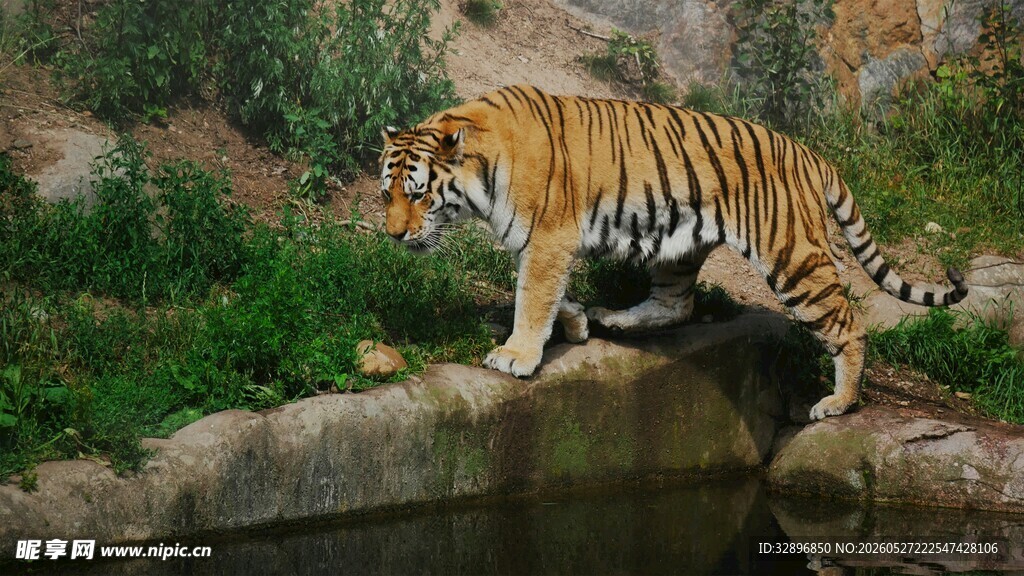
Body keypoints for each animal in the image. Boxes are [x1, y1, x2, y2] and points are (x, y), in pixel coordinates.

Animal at [378, 85, 968, 420]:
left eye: (419, 194)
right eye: (387, 194)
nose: (393, 236)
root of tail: (807, 151)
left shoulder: (548, 237)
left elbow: (533, 295)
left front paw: (516, 355)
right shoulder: (546, 243)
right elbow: (545, 293)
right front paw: (574, 321)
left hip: (793, 257)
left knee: (849, 326)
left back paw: (837, 404)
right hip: (679, 247)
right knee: (676, 305)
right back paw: (611, 318)